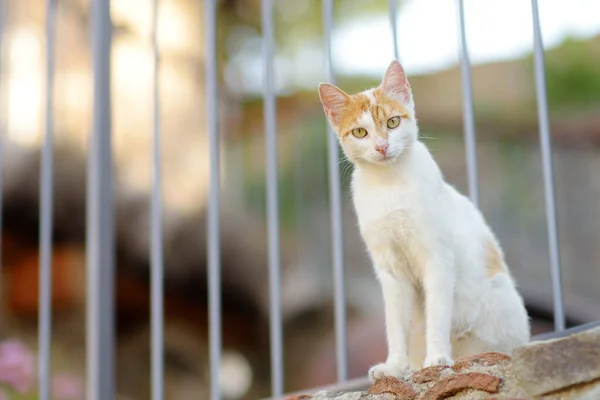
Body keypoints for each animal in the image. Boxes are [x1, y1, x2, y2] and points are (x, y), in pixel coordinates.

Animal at [318, 60, 528, 382]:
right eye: (360, 132)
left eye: (392, 123)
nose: (381, 147)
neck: (389, 185)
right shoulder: (391, 271)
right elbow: (395, 325)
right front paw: (394, 366)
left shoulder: (438, 259)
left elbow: (437, 315)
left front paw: (437, 359)